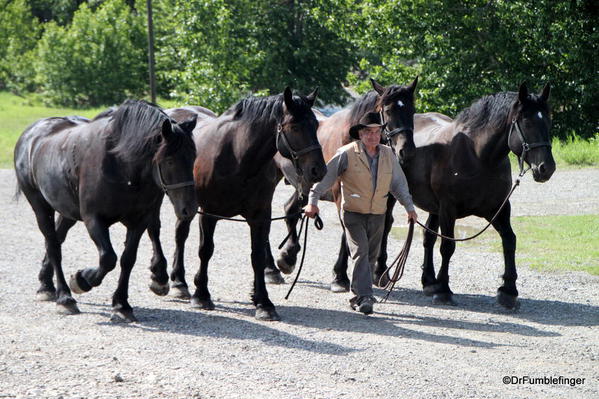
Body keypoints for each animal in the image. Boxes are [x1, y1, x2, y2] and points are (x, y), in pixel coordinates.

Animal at [13, 101, 197, 322]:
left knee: (57, 238)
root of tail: (31, 134)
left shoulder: (139, 220)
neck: (120, 166)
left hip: (67, 211)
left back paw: (46, 285)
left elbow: (127, 259)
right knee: (54, 246)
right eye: (169, 160)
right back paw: (65, 297)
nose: (190, 209)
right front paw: (81, 280)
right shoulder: (94, 219)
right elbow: (108, 258)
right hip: (40, 207)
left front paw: (121, 304)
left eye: (193, 157)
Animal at [154, 88, 324, 322]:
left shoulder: (260, 216)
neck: (237, 157)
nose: (319, 170)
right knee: (180, 235)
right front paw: (202, 295)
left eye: (316, 125)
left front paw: (263, 302)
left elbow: (257, 256)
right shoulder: (209, 213)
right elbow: (205, 250)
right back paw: (179, 282)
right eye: (295, 127)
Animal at [376, 83, 552, 310]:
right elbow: (448, 247)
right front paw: (444, 290)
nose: (546, 168)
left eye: (548, 121)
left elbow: (509, 240)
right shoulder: (448, 209)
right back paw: (381, 272)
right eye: (527, 122)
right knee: (386, 226)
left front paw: (508, 291)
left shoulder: (499, 208)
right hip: (393, 196)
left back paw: (429, 281)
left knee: (428, 236)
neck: (478, 157)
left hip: (434, 207)